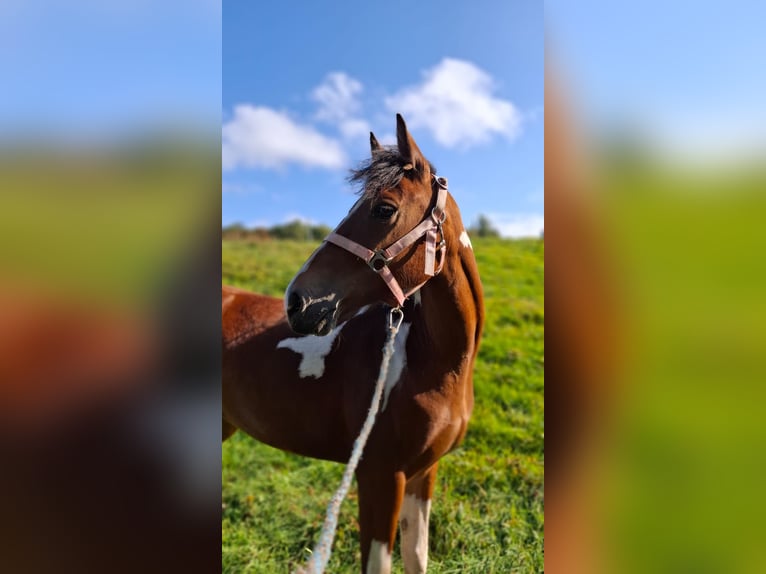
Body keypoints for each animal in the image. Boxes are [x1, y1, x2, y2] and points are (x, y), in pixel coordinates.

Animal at [222, 114, 485, 574]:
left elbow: (417, 556)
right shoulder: (379, 476)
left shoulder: (423, 474)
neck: (435, 365)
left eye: (384, 209)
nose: (297, 300)